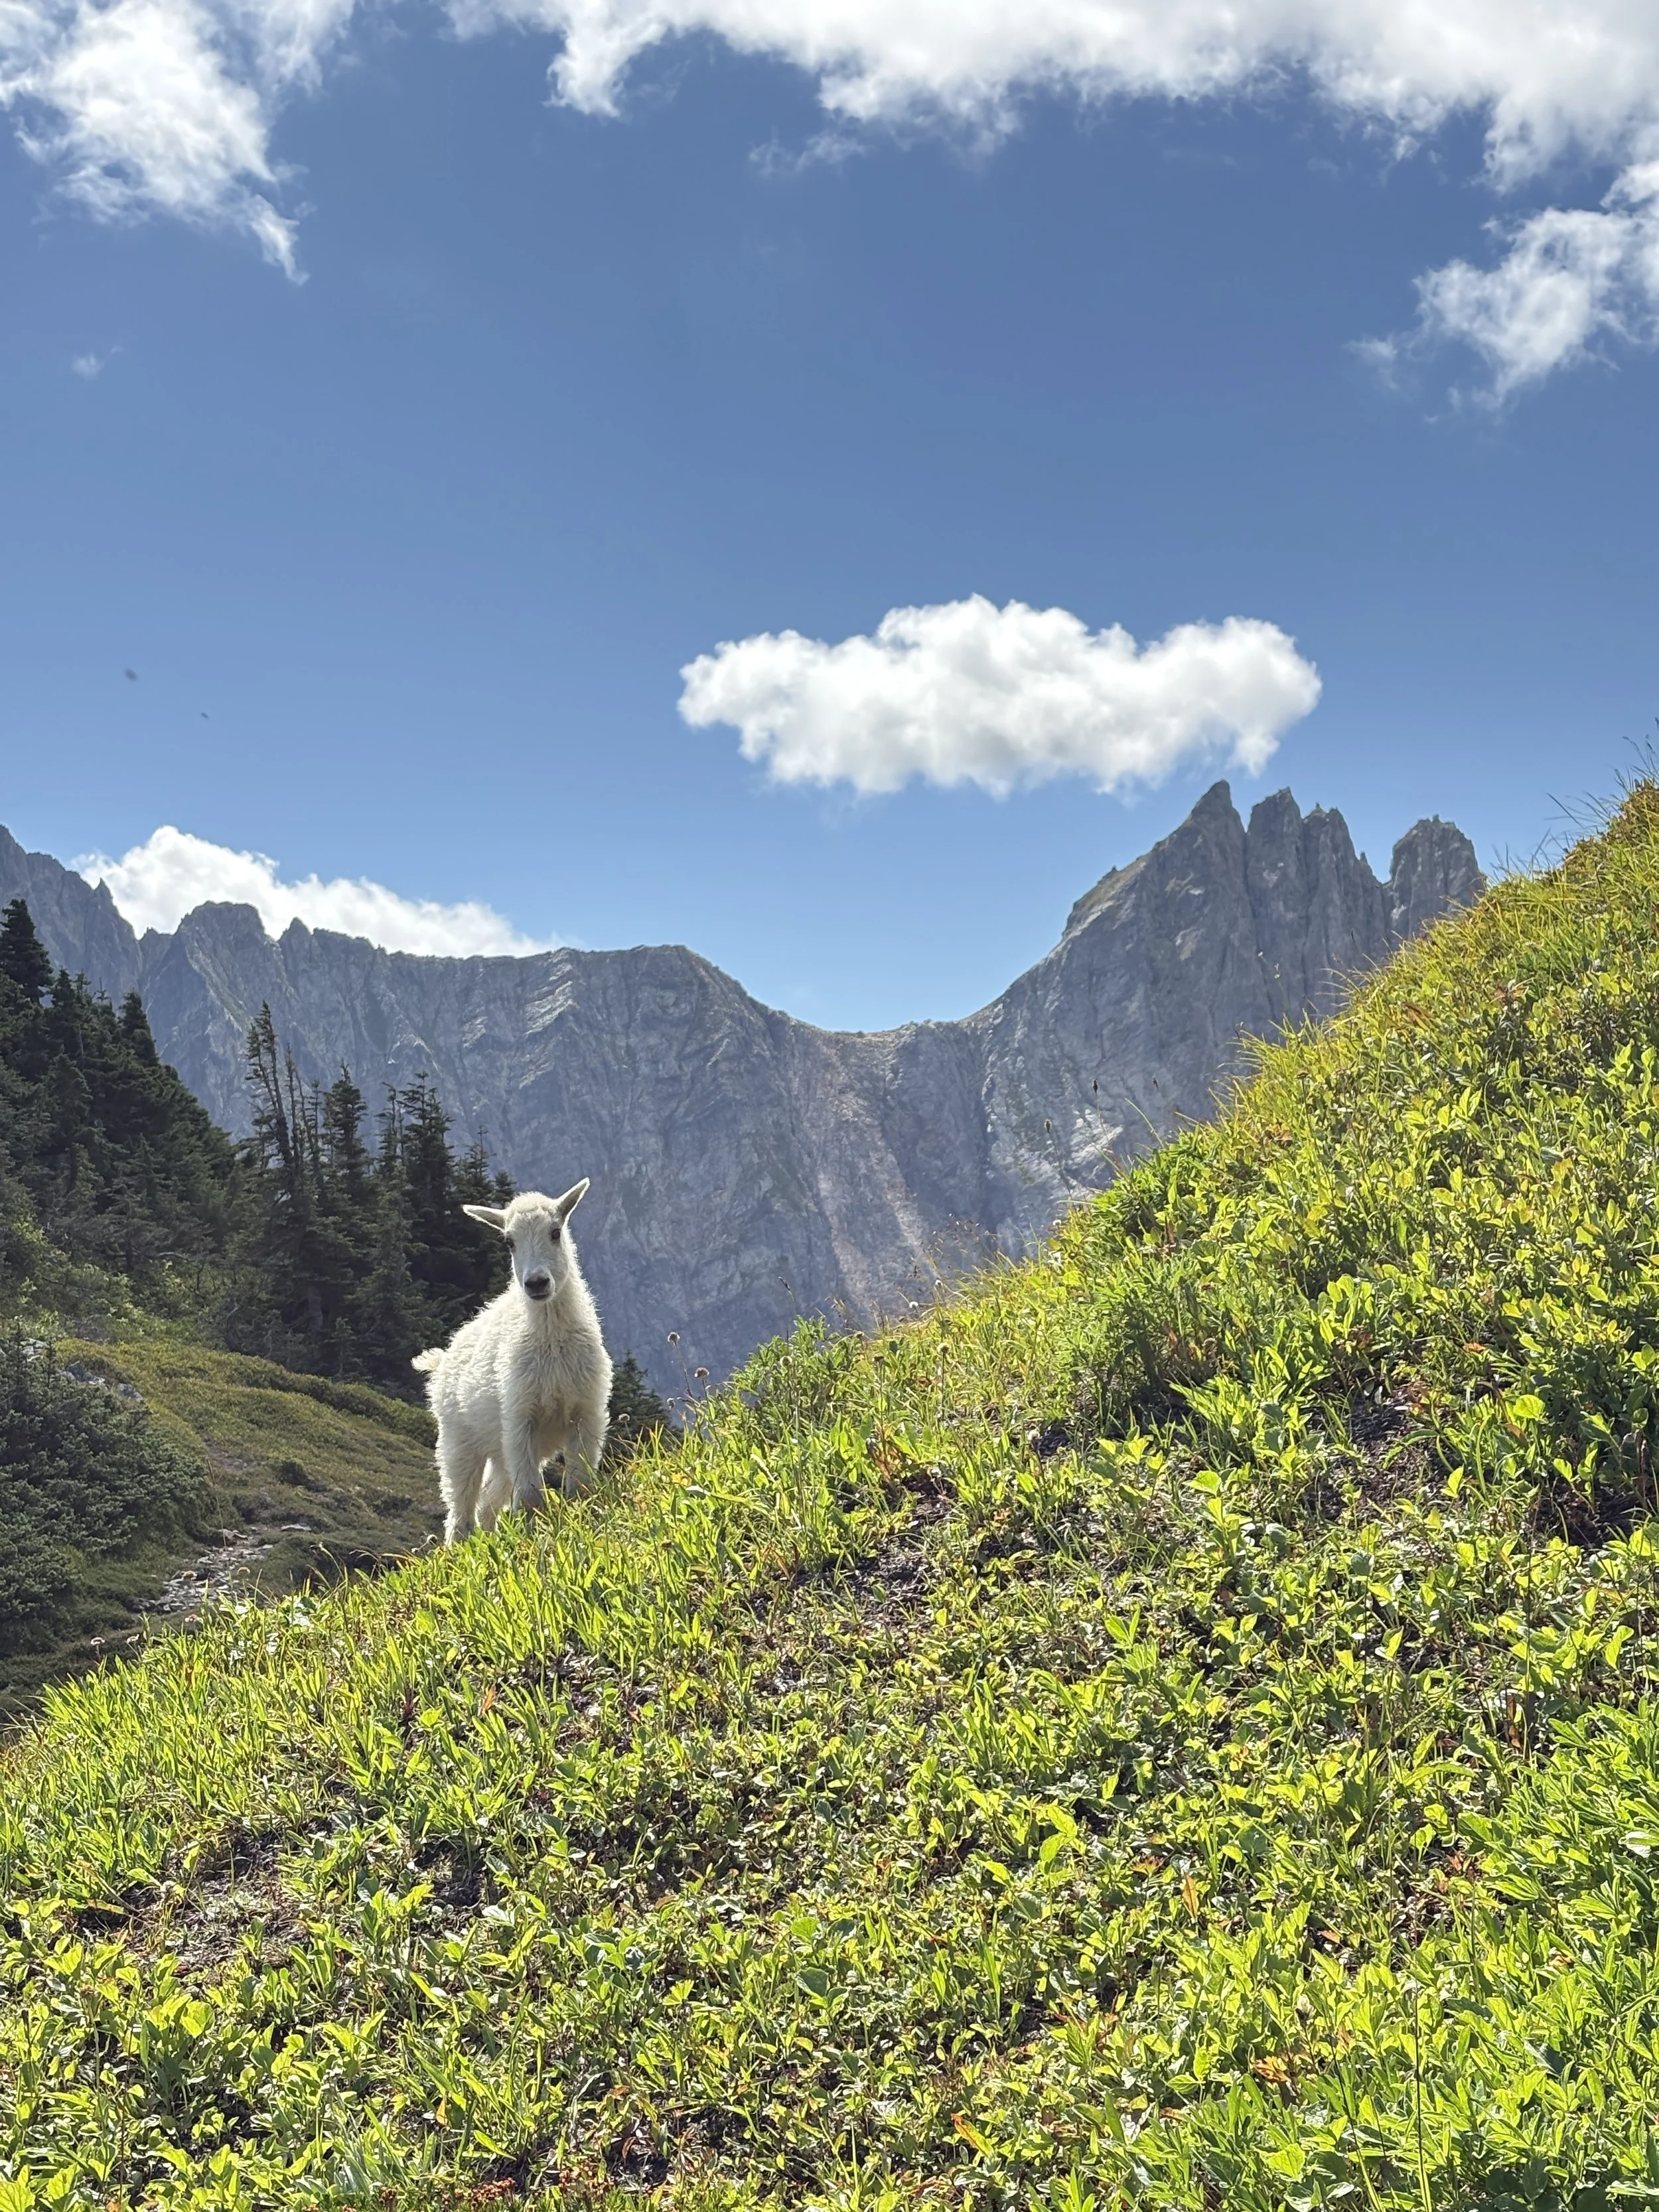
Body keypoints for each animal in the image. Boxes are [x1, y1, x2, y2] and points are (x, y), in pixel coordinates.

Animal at [412, 1181, 612, 1543]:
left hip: (501, 1451)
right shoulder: (520, 1418)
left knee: (488, 1504)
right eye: (509, 1241)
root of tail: (443, 1359)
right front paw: (533, 1542)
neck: (552, 1344)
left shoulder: (586, 1413)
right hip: (458, 1442)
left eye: (555, 1232)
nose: (536, 1283)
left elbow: (580, 1487)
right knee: (461, 1514)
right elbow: (531, 1498)